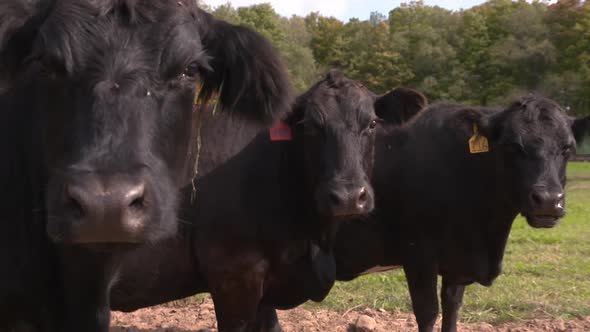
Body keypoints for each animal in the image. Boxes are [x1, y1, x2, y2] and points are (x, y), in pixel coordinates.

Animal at [332, 96, 590, 332]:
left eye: (567, 149)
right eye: (512, 147)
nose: (548, 201)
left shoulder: (457, 262)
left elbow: (452, 308)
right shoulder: (419, 255)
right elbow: (427, 312)